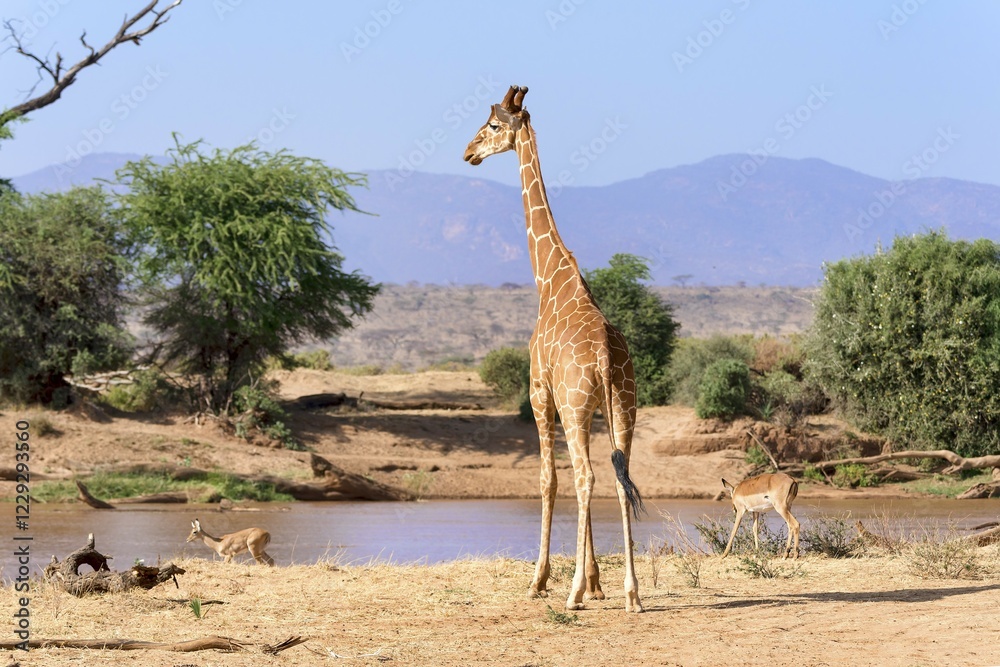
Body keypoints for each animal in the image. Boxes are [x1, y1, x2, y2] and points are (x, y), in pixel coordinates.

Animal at [464, 86, 645, 613]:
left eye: (493, 126)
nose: (468, 152)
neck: (550, 278)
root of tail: (604, 355)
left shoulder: (539, 393)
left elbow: (548, 479)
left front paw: (542, 579)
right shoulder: (582, 407)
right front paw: (600, 583)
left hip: (574, 405)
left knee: (585, 477)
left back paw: (571, 593)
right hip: (622, 406)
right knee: (621, 479)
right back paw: (632, 593)